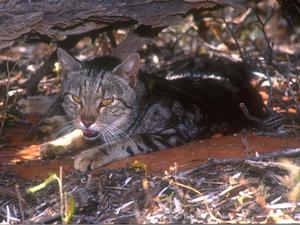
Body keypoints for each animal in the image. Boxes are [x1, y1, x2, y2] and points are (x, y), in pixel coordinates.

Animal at [39, 48, 262, 171]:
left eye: (106, 102)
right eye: (76, 99)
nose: (87, 120)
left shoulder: (178, 128)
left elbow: (127, 141)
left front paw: (91, 154)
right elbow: (80, 133)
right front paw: (57, 144)